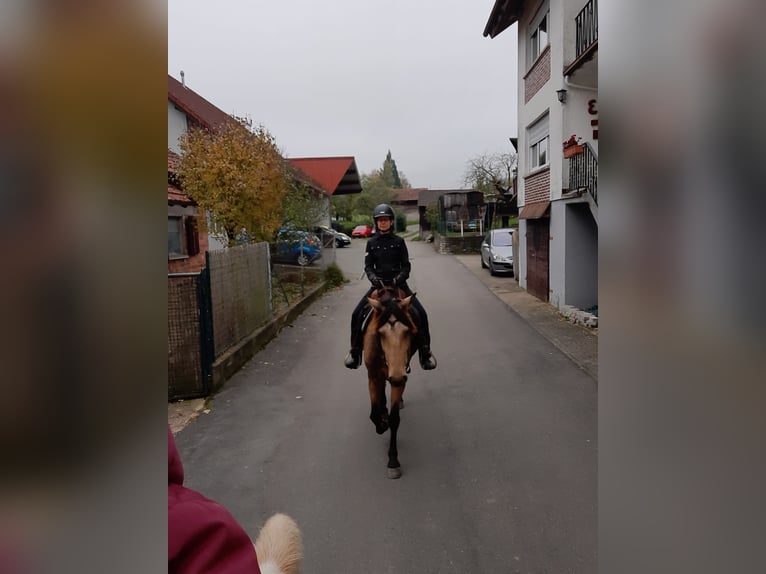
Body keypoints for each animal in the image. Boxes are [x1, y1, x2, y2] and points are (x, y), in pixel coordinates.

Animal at [364, 286, 420, 480]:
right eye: (380, 333)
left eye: (408, 331)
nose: (396, 376)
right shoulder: (373, 376)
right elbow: (374, 414)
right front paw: (382, 422)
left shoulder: (399, 378)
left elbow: (394, 419)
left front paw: (393, 461)